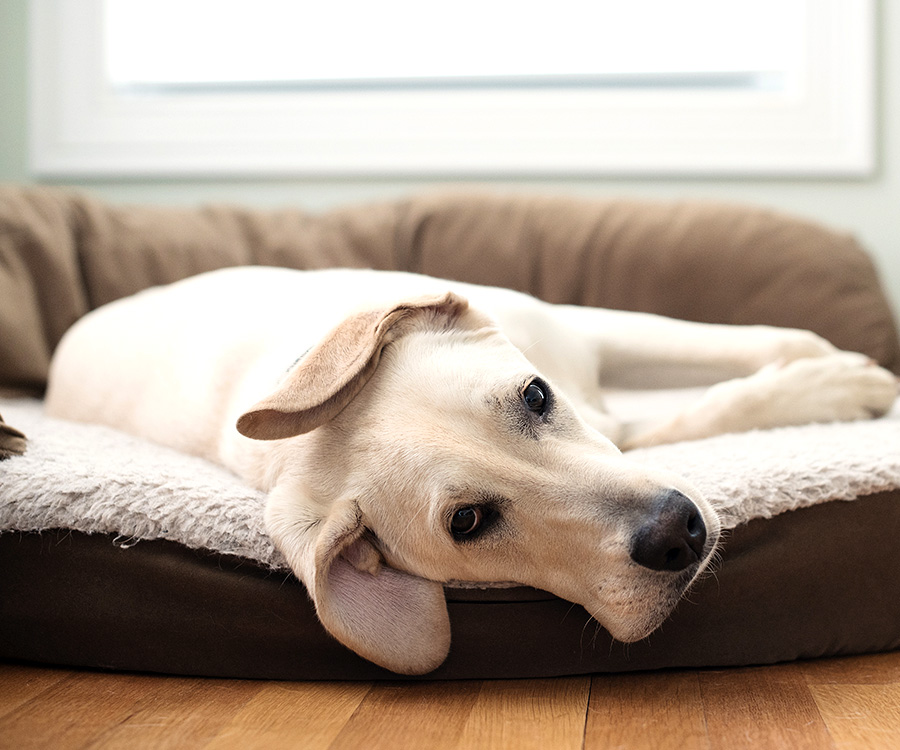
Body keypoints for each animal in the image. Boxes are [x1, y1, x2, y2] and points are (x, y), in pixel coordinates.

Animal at [45, 266, 896, 676]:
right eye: (469, 522)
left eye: (536, 396)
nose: (677, 535)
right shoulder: (621, 419)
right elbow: (698, 412)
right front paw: (832, 390)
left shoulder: (586, 338)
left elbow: (745, 344)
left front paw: (835, 371)